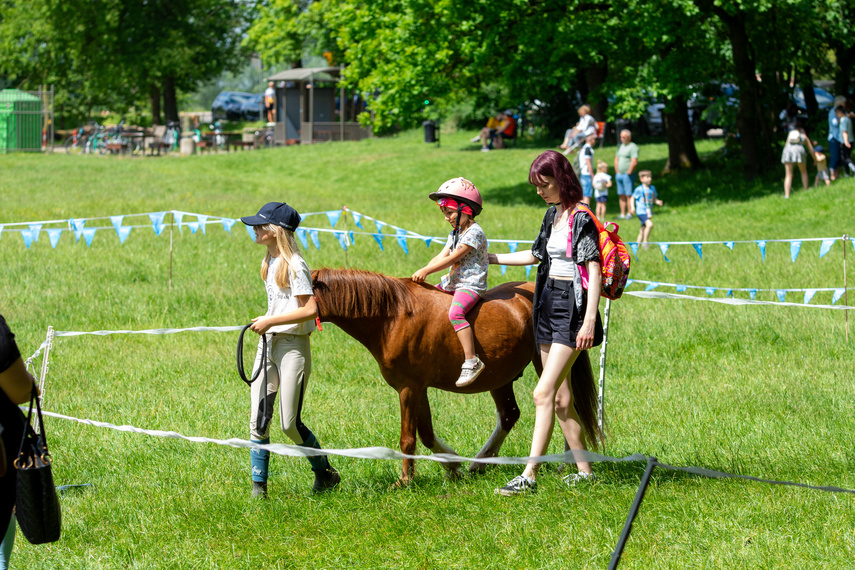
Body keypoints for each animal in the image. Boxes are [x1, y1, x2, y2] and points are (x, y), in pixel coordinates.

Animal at [310, 268, 600, 482]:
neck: (392, 316)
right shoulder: (418, 389)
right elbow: (426, 434)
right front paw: (452, 465)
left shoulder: (408, 388)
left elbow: (408, 438)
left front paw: (405, 480)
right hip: (500, 377)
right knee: (510, 414)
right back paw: (481, 463)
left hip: (546, 365)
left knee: (565, 406)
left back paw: (567, 463)